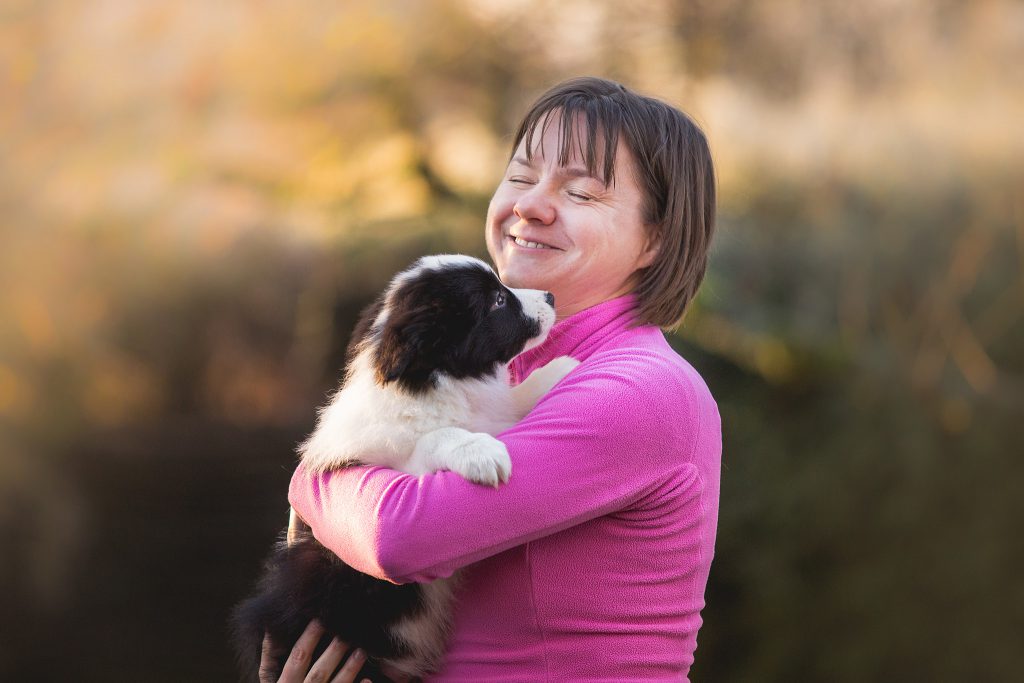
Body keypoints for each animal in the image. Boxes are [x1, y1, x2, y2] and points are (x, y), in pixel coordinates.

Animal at [234, 255, 581, 683]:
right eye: (499, 300)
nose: (550, 296)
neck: (434, 383)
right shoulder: (390, 469)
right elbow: (434, 437)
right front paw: (479, 450)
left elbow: (507, 405)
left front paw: (558, 370)